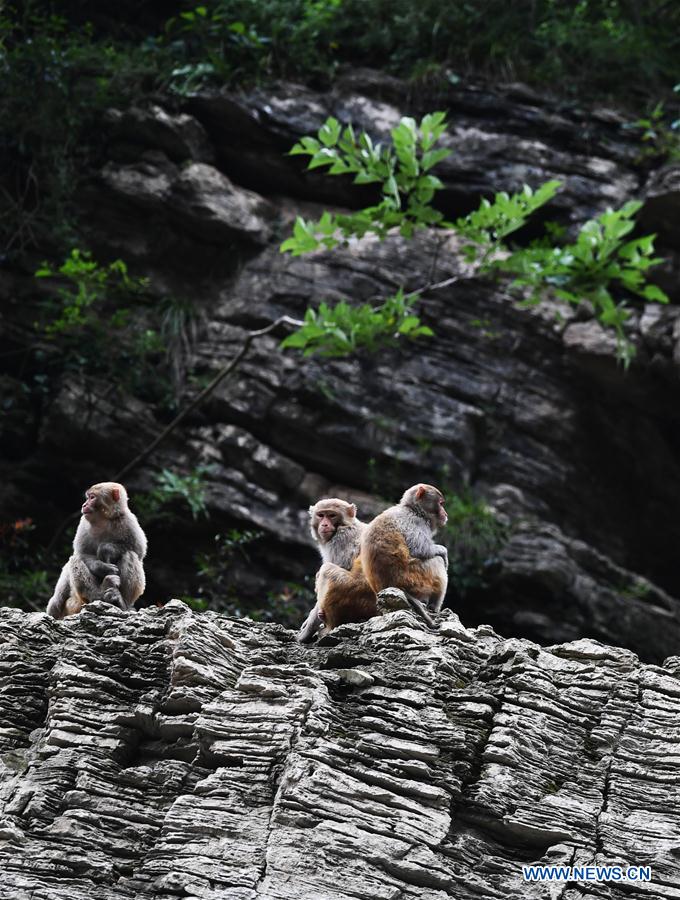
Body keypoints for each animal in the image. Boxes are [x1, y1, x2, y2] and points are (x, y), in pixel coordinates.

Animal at [45, 482, 147, 624]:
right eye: (88, 497)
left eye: (92, 497)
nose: (84, 505)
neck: (103, 519)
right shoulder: (83, 523)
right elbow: (81, 553)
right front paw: (103, 567)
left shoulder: (128, 520)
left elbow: (139, 550)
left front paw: (106, 549)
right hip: (75, 603)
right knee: (74, 560)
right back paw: (98, 595)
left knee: (130, 554)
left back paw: (121, 602)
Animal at [294, 500, 378, 640]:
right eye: (321, 515)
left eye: (332, 515)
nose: (325, 524)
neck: (348, 524)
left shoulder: (341, 540)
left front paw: (307, 629)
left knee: (326, 570)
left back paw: (328, 628)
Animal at [358, 482, 448, 616]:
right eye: (441, 504)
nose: (445, 514)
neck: (414, 510)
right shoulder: (415, 522)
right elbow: (420, 549)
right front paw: (443, 551)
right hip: (414, 580)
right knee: (437, 561)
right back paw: (434, 607)